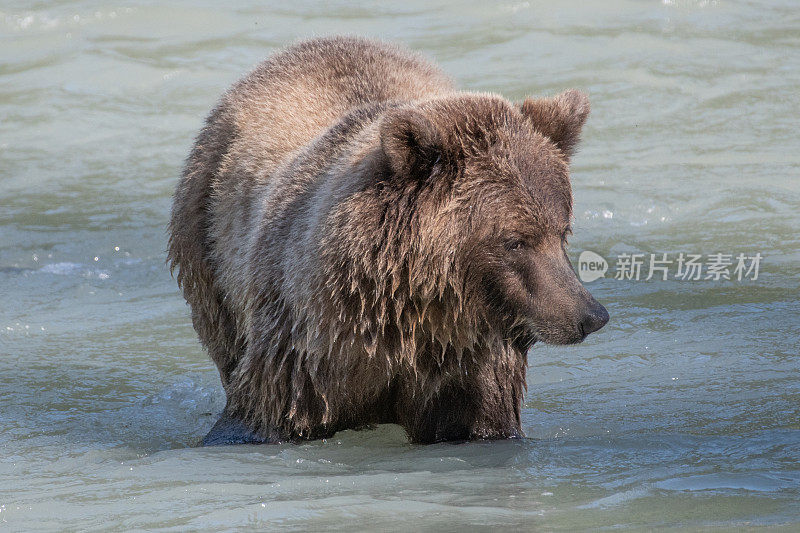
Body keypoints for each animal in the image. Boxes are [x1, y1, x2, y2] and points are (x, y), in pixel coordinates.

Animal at [167, 35, 608, 444]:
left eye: (561, 231)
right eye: (515, 241)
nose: (591, 315)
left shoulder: (468, 366)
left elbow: (479, 422)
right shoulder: (303, 355)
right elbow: (261, 416)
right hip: (208, 249)